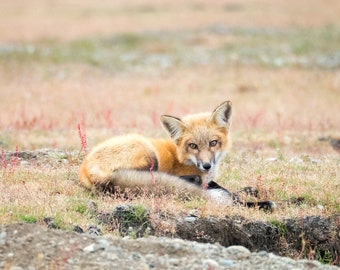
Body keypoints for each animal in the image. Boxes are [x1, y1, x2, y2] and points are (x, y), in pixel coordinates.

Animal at [80, 101, 276, 211]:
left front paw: (248, 190)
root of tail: (85, 171)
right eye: (193, 146)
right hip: (148, 152)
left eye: (213, 143)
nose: (206, 166)